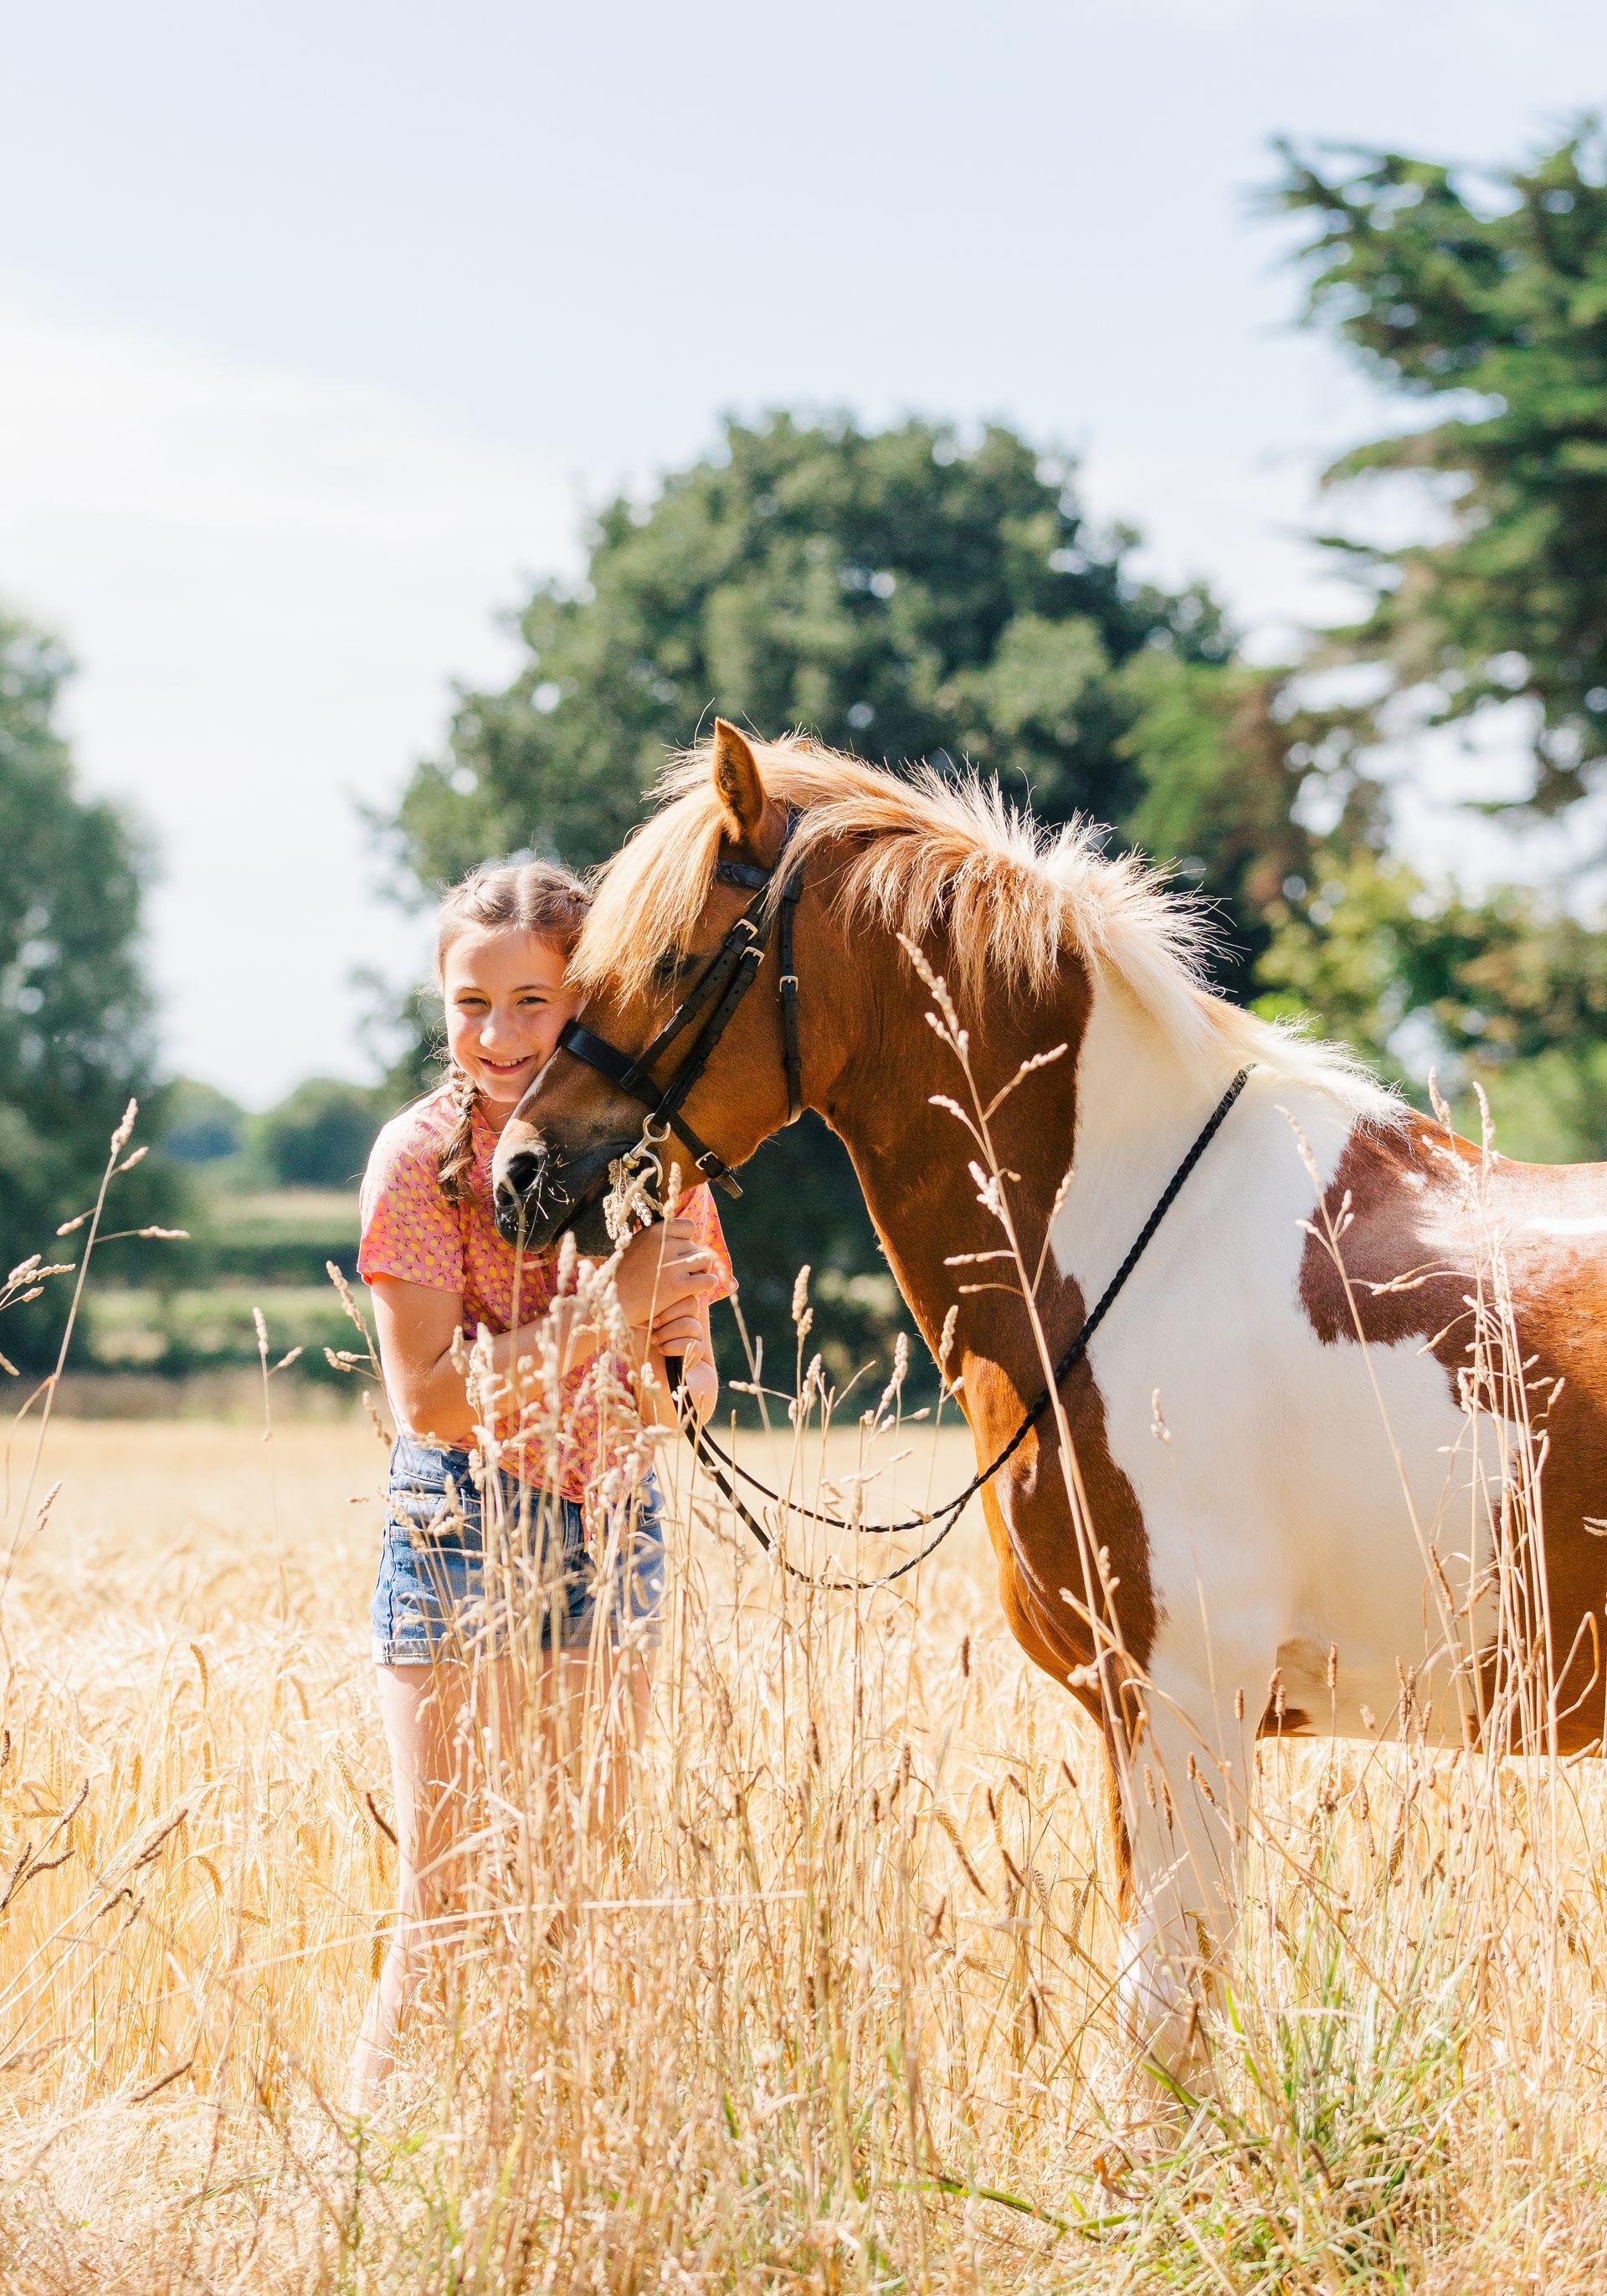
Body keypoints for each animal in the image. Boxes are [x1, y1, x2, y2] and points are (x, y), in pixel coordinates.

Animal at [489, 718, 1607, 2066]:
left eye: (670, 958)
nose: (519, 1172)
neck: (1137, 1234)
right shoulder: (1136, 1714)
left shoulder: (1183, 1702)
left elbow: (1165, 2024)